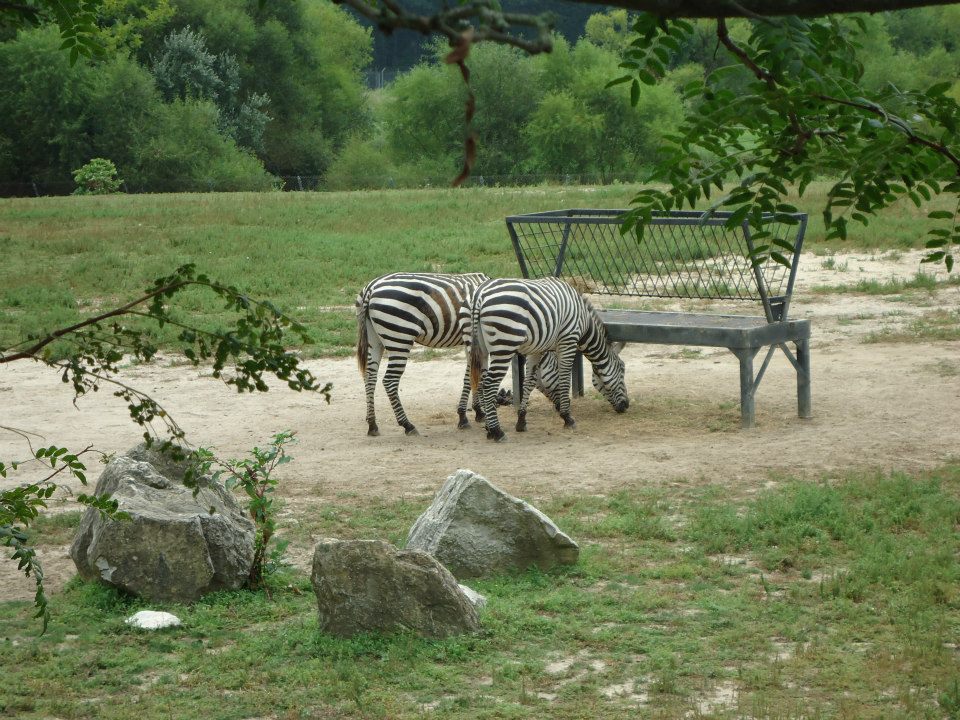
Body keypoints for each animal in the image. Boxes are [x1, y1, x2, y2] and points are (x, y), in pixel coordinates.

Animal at [466, 278, 632, 442]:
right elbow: (564, 378)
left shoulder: (537, 350)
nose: (626, 405)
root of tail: (480, 294)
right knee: (489, 384)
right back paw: (497, 431)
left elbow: (529, 382)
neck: (584, 321)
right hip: (505, 344)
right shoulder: (568, 340)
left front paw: (521, 420)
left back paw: (488, 429)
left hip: (482, 348)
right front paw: (567, 418)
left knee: (481, 382)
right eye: (622, 370)